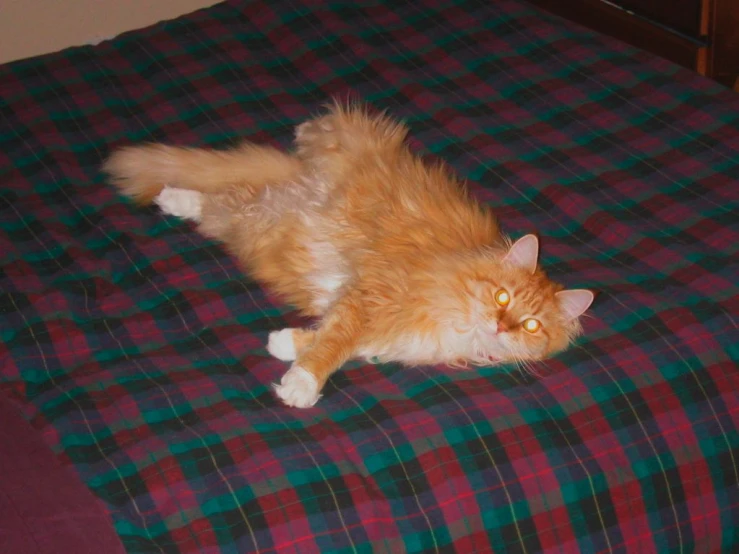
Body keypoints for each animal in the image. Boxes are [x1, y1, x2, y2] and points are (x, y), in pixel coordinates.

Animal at [102, 102, 596, 406]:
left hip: (260, 227)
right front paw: (302, 382)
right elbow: (337, 343)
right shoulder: (374, 296)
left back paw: (176, 199)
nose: (499, 325)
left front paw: (285, 344)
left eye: (530, 325)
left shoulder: (384, 326)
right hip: (330, 152)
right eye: (502, 297)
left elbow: (338, 337)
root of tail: (301, 183)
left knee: (228, 204)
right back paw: (175, 196)